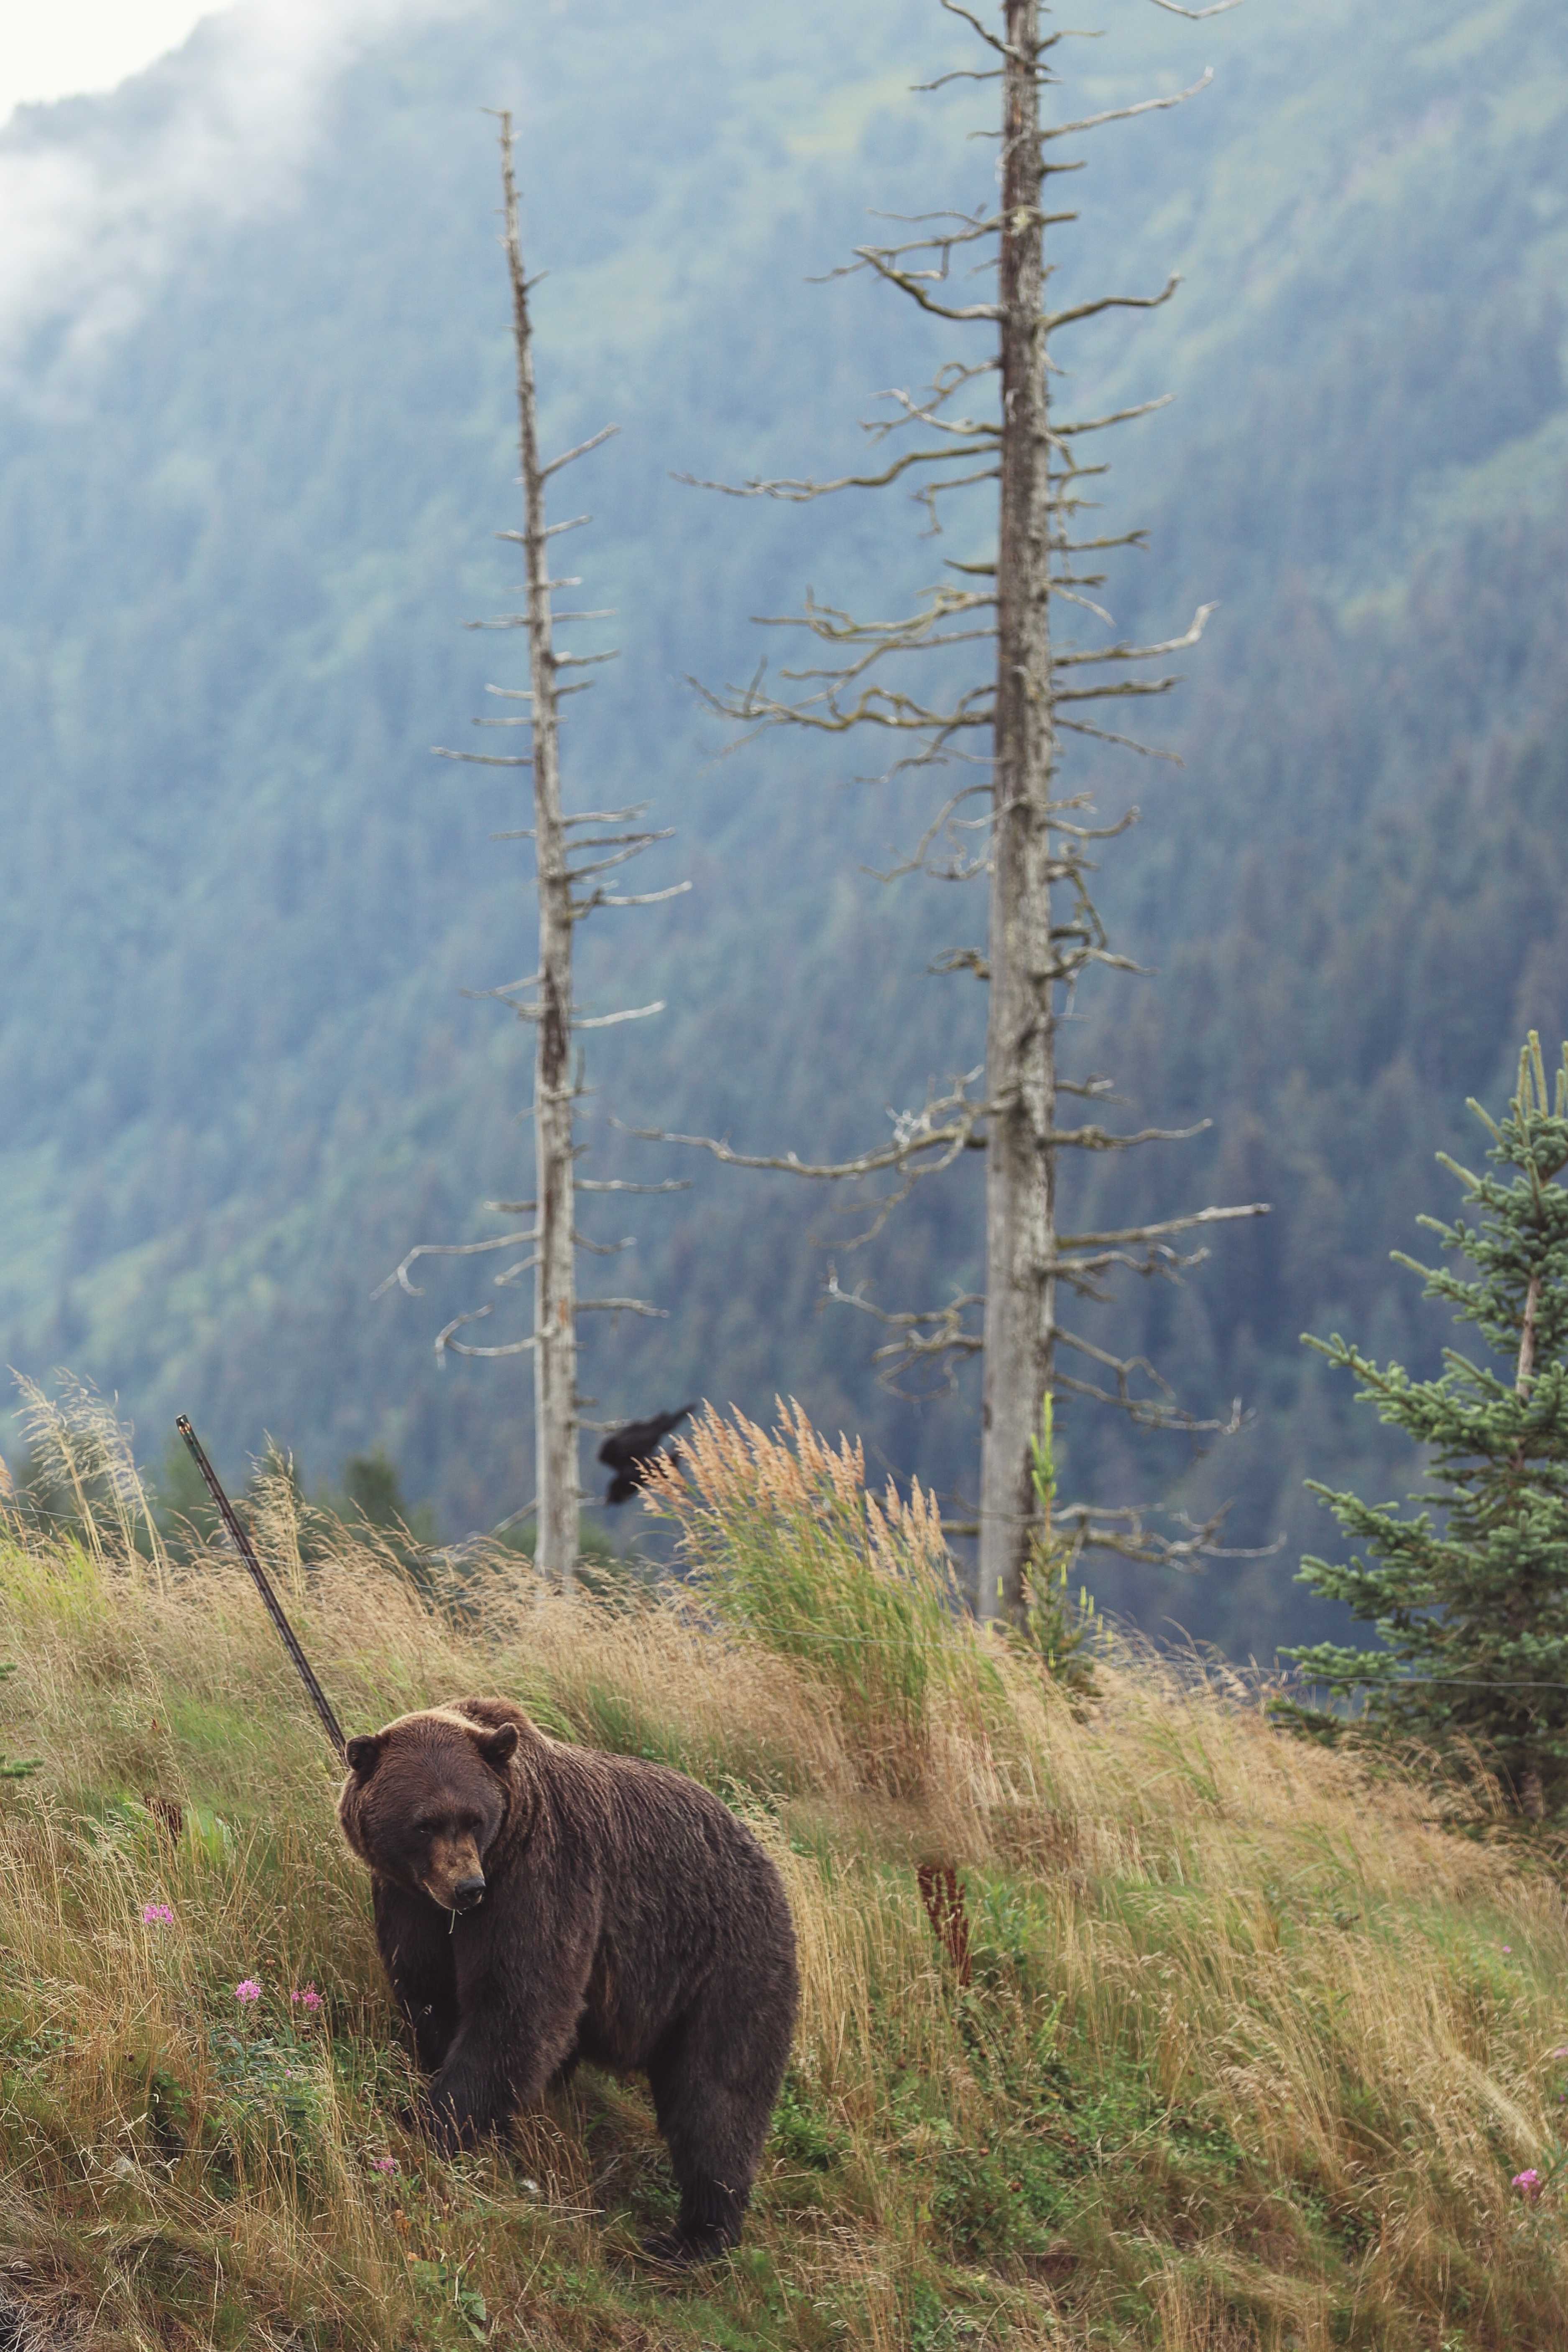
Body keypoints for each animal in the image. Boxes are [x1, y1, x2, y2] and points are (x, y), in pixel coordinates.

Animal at [334, 1693, 799, 2258]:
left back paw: (693, 2238)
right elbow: (430, 1994)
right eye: (424, 1823)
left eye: (474, 1819)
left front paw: (432, 2123)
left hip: (727, 1965)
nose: (468, 1887)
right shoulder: (410, 1903)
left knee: (717, 2094)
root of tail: (769, 1863)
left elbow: (520, 2005)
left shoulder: (541, 1881)